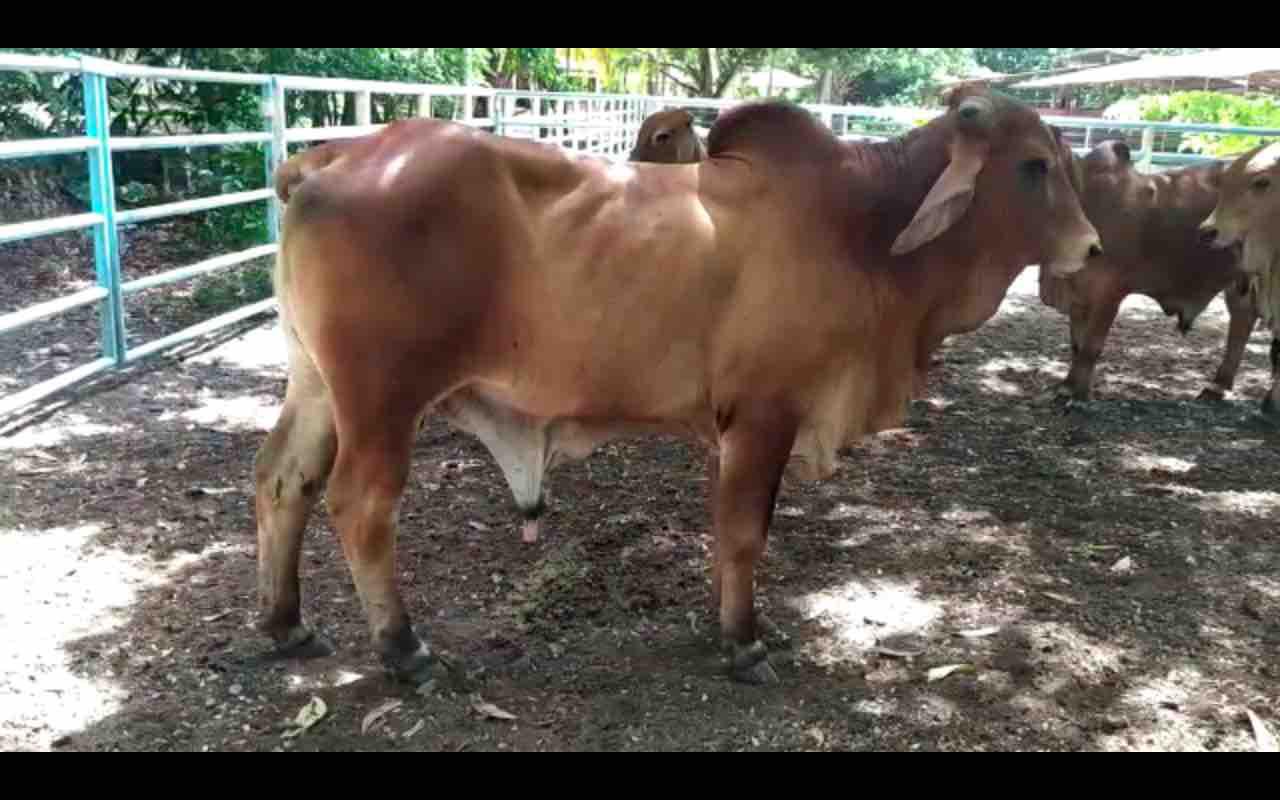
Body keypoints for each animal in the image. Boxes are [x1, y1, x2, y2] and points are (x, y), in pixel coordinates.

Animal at [251, 87, 1101, 688]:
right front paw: (744, 642)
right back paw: (405, 651)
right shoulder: (764, 414)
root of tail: (330, 159)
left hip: (317, 385)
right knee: (361, 506)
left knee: (283, 481)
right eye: (1034, 165)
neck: (866, 227)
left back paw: (285, 623)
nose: (1092, 247)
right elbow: (746, 532)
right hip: (382, 397)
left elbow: (731, 530)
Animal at [1039, 139, 1269, 404]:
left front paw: (1079, 394)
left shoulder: (1110, 292)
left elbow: (1090, 348)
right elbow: (1077, 345)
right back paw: (1217, 386)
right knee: (1243, 317)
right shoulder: (1078, 296)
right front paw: (1068, 386)